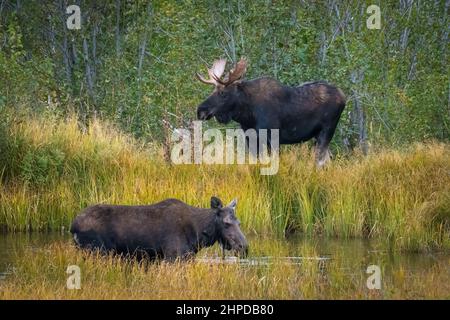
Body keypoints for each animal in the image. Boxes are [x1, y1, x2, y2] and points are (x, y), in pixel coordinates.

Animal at [69, 196, 250, 262]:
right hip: (97, 252)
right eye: (226, 223)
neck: (199, 234)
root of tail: (73, 226)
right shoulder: (173, 256)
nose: (244, 247)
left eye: (239, 223)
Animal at [195, 58, 346, 168]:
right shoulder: (250, 137)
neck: (247, 115)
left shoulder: (272, 137)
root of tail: (343, 96)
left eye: (223, 93)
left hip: (328, 130)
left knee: (320, 161)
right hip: (318, 135)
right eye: (213, 91)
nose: (200, 111)